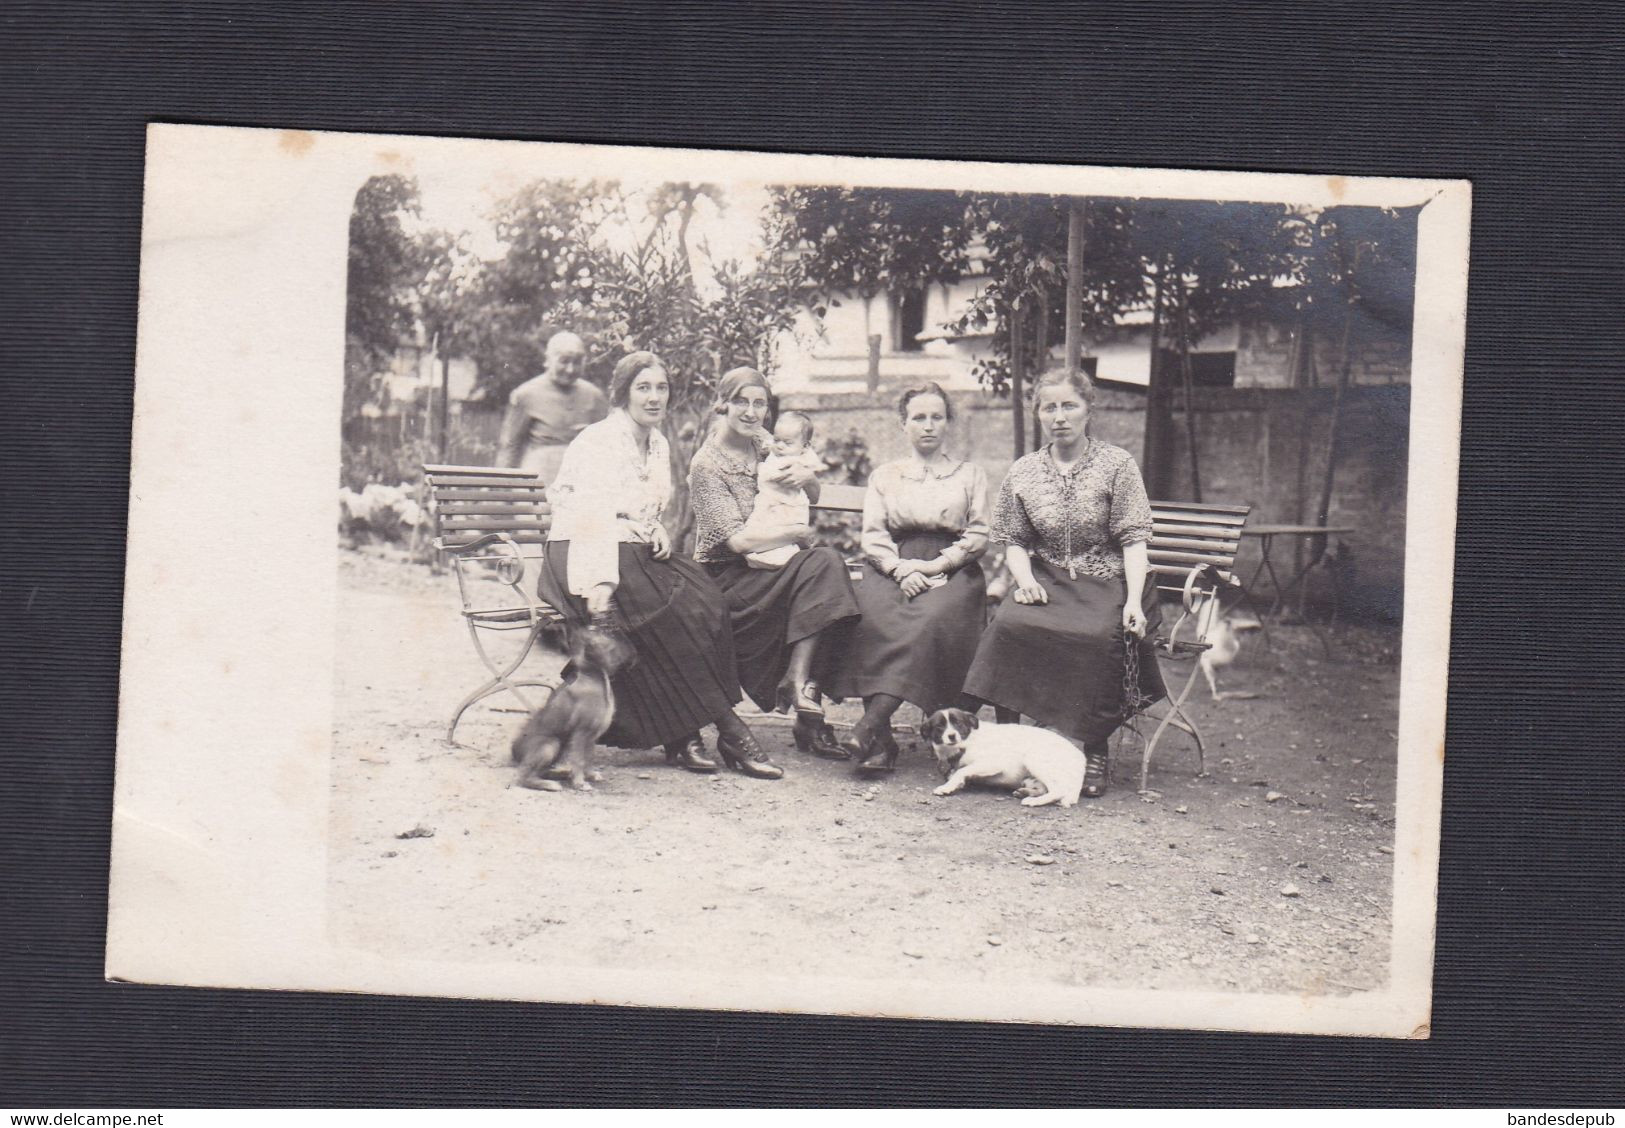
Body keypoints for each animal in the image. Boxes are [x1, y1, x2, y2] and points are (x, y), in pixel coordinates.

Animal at [510, 627, 630, 796]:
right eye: (608, 636)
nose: (629, 645)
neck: (593, 676)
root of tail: (514, 751)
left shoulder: (591, 737)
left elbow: (588, 758)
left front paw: (589, 775)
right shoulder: (581, 733)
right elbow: (579, 760)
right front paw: (580, 783)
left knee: (540, 771)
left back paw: (561, 774)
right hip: (551, 745)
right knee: (523, 776)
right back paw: (550, 784)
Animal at [923, 711, 1085, 809]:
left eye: (959, 723)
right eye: (939, 726)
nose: (951, 736)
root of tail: (1080, 759)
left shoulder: (993, 764)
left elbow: (961, 771)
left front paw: (946, 787)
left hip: (1034, 759)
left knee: (1058, 790)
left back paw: (1033, 801)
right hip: (1030, 777)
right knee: (1044, 788)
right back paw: (1025, 792)